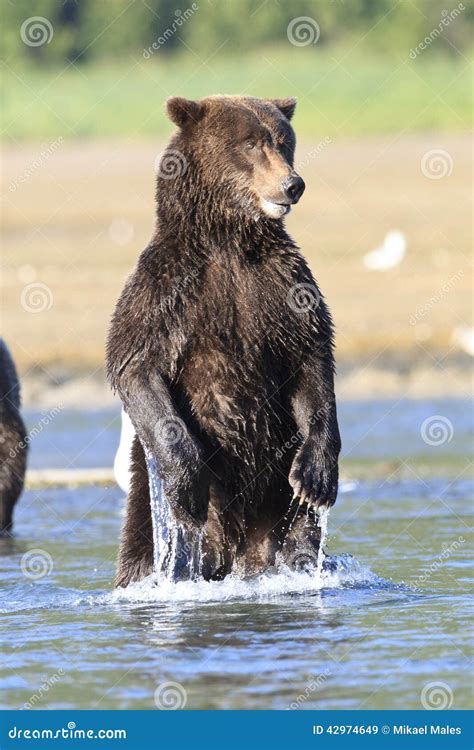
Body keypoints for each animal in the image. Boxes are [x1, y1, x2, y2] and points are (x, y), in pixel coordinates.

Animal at [106, 95, 340, 588]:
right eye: (250, 143)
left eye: (284, 141)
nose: (292, 185)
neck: (228, 238)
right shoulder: (166, 290)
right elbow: (135, 363)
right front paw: (187, 485)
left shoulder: (283, 287)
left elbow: (311, 357)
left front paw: (316, 478)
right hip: (149, 497)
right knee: (147, 546)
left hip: (276, 499)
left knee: (299, 534)